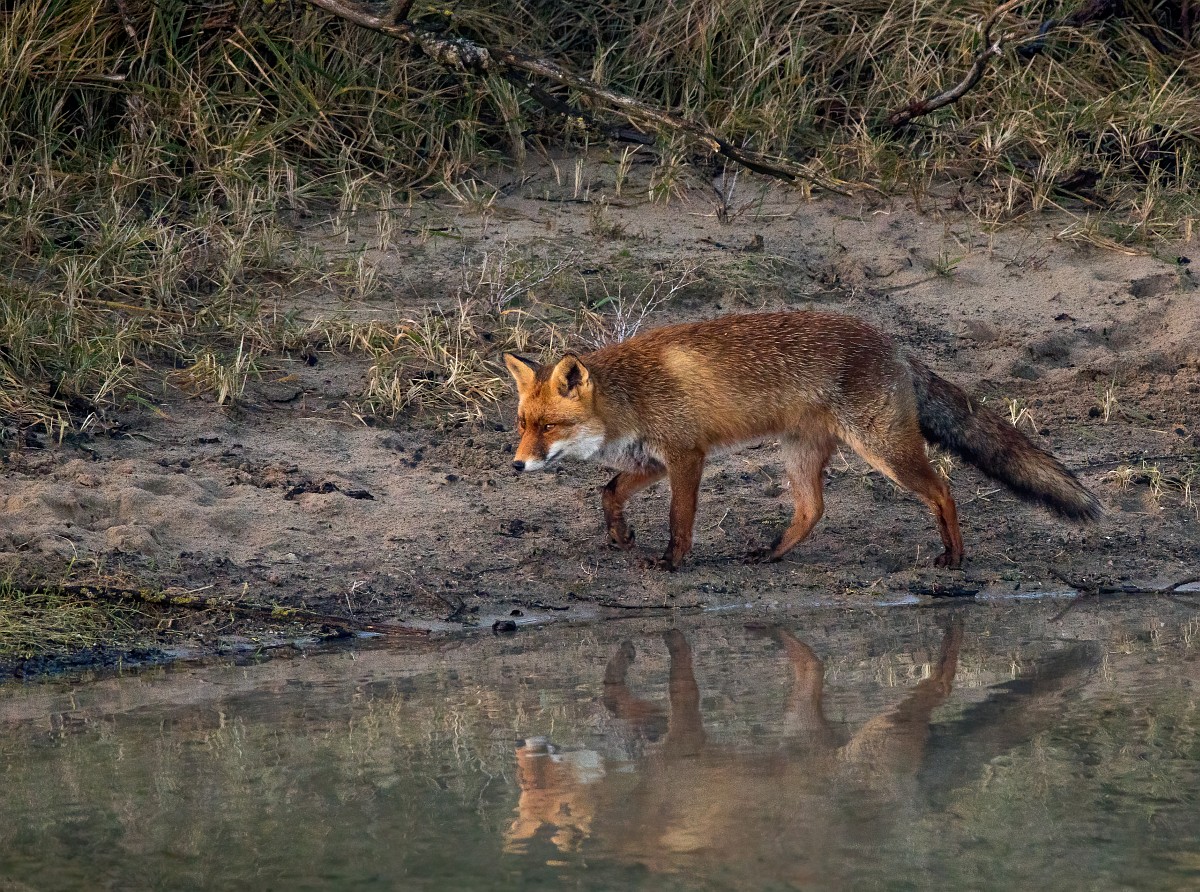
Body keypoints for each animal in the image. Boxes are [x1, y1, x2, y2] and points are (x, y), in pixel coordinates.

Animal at [503, 311, 1101, 571]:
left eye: (549, 427)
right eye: (522, 424)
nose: (516, 466)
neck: (632, 398)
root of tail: (896, 346)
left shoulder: (686, 456)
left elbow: (679, 520)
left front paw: (671, 561)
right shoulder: (652, 460)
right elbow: (608, 492)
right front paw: (621, 536)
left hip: (883, 450)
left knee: (944, 489)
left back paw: (953, 557)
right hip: (800, 453)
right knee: (813, 509)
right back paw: (771, 553)